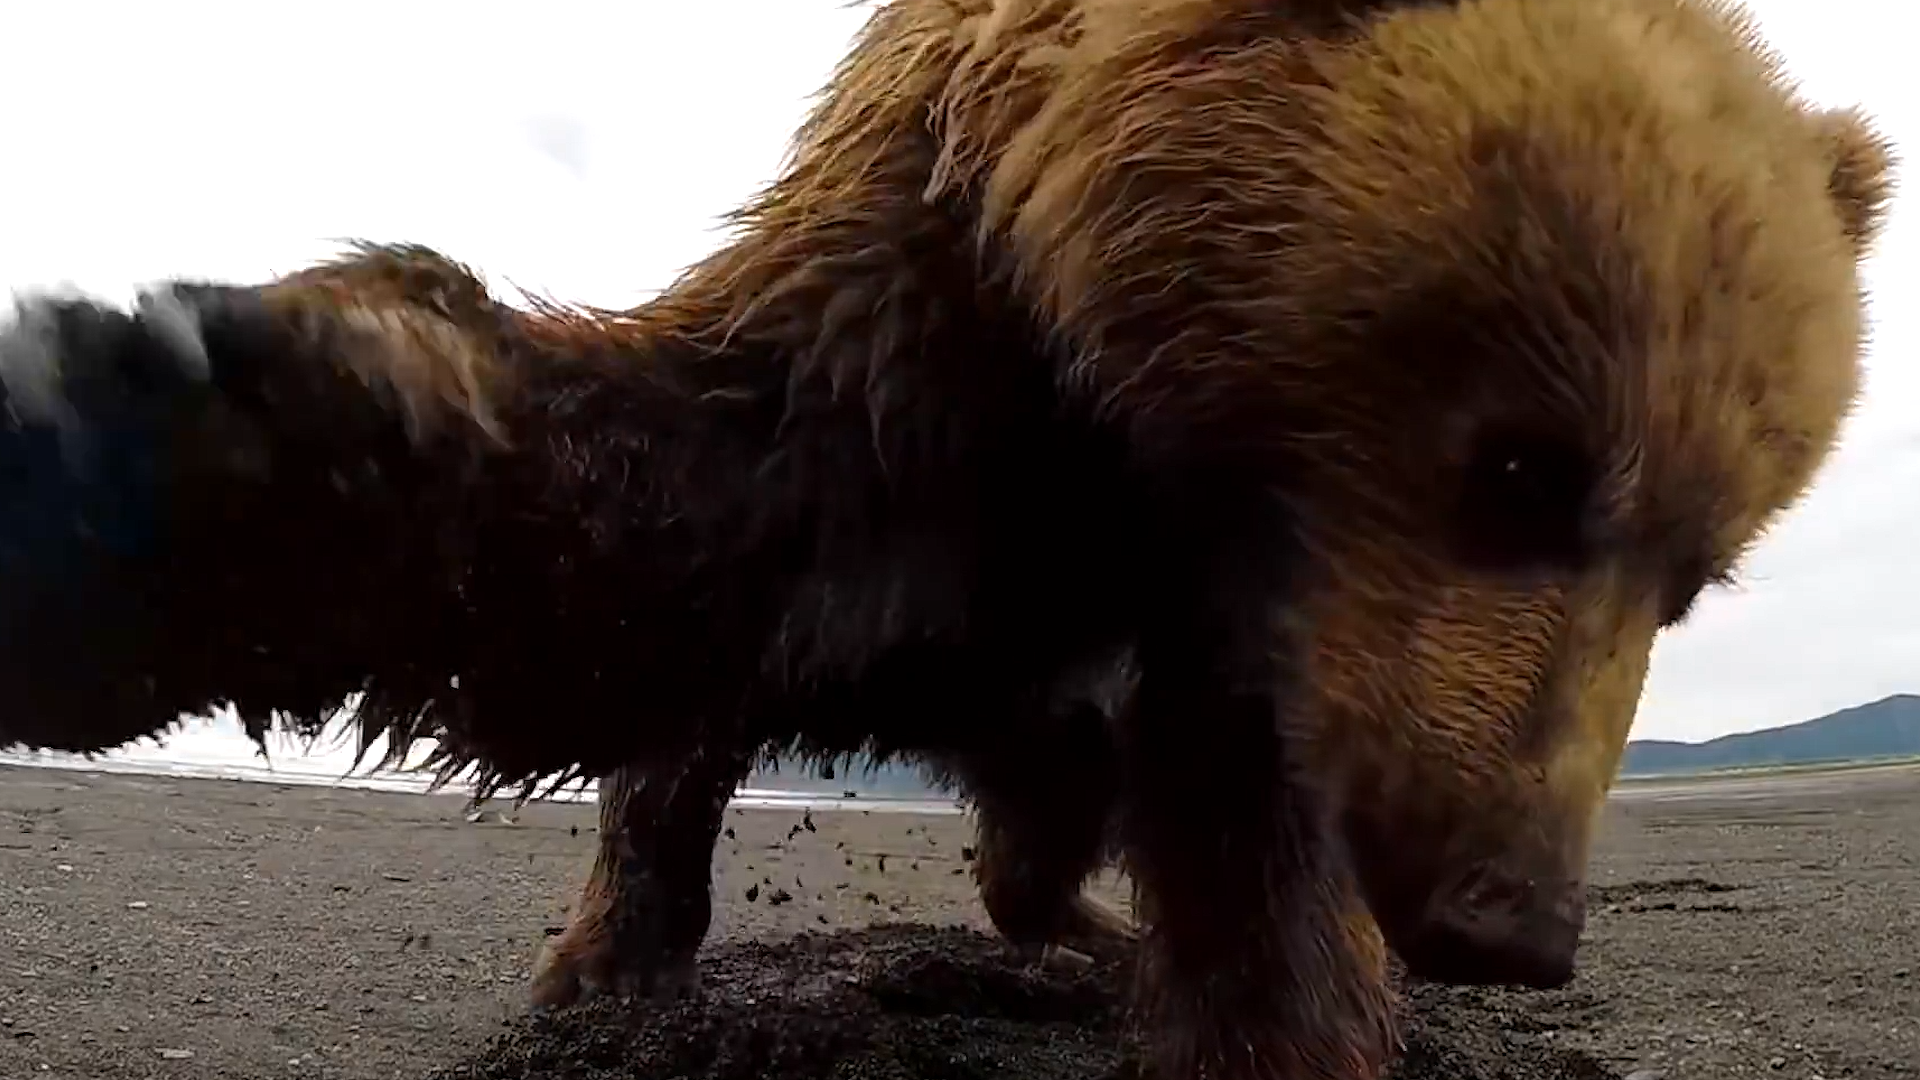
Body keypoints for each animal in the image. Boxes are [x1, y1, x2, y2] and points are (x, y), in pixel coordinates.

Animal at [0, 0, 1889, 1068]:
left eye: (1699, 577)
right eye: (1515, 468)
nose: (1515, 925)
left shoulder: (1246, 626)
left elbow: (1252, 833)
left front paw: (1296, 1019)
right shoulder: (916, 327)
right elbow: (641, 544)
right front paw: (150, 455)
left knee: (1054, 797)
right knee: (702, 756)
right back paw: (620, 954)